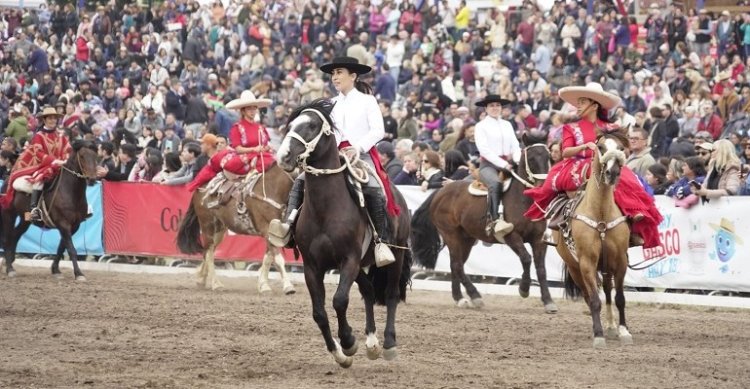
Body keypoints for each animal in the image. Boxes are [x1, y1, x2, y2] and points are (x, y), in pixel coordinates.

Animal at [1, 139, 100, 278]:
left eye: (96, 156)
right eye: (82, 156)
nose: (92, 179)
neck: (70, 192)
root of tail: (7, 181)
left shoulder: (74, 226)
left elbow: (61, 247)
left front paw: (56, 270)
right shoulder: (63, 224)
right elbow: (71, 249)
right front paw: (78, 273)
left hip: (25, 220)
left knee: (15, 236)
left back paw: (9, 261)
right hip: (9, 215)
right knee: (7, 239)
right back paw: (10, 268)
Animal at [178, 162, 298, 292]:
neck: (272, 189)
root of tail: (199, 189)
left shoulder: (274, 233)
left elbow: (268, 258)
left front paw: (263, 285)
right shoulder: (266, 228)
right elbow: (278, 259)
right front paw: (288, 286)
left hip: (219, 230)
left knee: (208, 250)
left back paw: (201, 279)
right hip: (207, 226)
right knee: (209, 253)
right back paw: (216, 283)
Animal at [280, 99, 414, 366]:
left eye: (311, 125)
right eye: (290, 125)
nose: (284, 155)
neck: (326, 208)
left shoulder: (348, 260)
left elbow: (339, 300)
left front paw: (349, 342)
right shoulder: (312, 267)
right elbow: (319, 313)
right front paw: (340, 353)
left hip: (396, 254)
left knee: (391, 294)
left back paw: (388, 343)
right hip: (362, 265)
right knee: (369, 291)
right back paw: (371, 342)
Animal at [412, 133, 560, 312]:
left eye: (548, 157)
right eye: (530, 158)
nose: (543, 185)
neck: (523, 200)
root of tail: (440, 192)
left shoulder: (538, 239)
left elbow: (541, 269)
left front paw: (548, 301)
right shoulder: (511, 236)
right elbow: (526, 259)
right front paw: (524, 289)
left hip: (466, 239)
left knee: (456, 264)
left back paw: (459, 298)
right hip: (451, 235)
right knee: (457, 265)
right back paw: (474, 296)